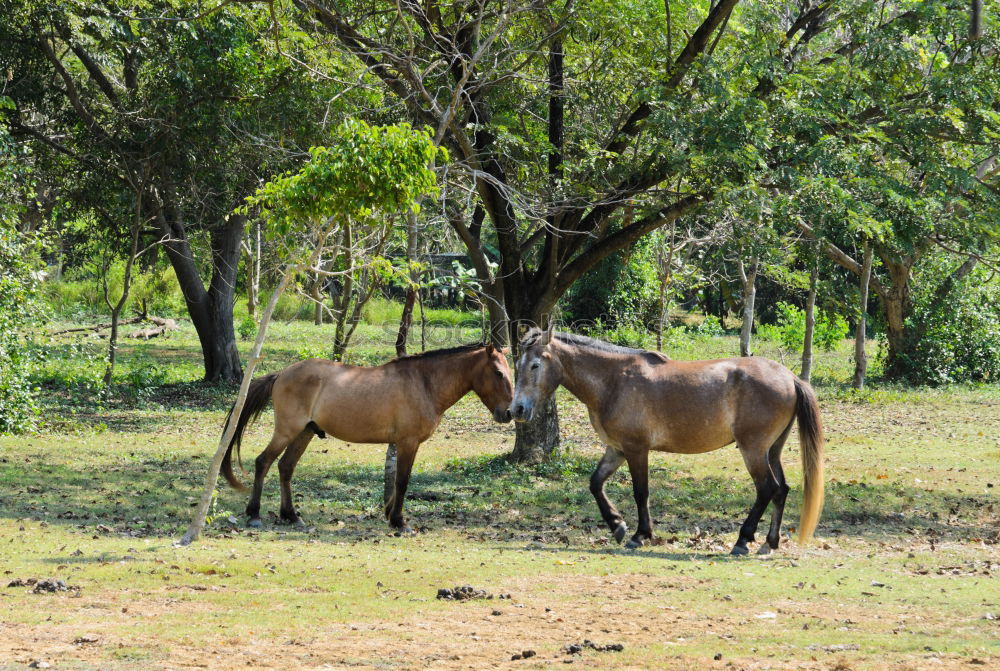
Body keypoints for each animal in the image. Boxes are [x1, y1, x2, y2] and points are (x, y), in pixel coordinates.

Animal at [223, 344, 512, 532]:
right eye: (498, 373)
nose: (509, 412)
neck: (424, 383)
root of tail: (282, 374)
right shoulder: (408, 443)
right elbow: (402, 481)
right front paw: (399, 521)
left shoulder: (402, 444)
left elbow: (396, 481)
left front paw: (390, 514)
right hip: (287, 431)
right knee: (263, 462)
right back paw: (254, 515)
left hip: (304, 432)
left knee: (285, 467)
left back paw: (291, 516)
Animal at [512, 326, 824, 556]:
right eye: (517, 364)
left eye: (535, 365)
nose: (517, 410)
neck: (613, 381)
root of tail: (790, 377)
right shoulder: (616, 449)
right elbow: (595, 483)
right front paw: (617, 525)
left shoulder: (636, 449)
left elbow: (641, 492)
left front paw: (639, 535)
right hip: (772, 450)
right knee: (781, 490)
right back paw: (769, 543)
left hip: (753, 450)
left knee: (767, 489)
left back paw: (742, 541)